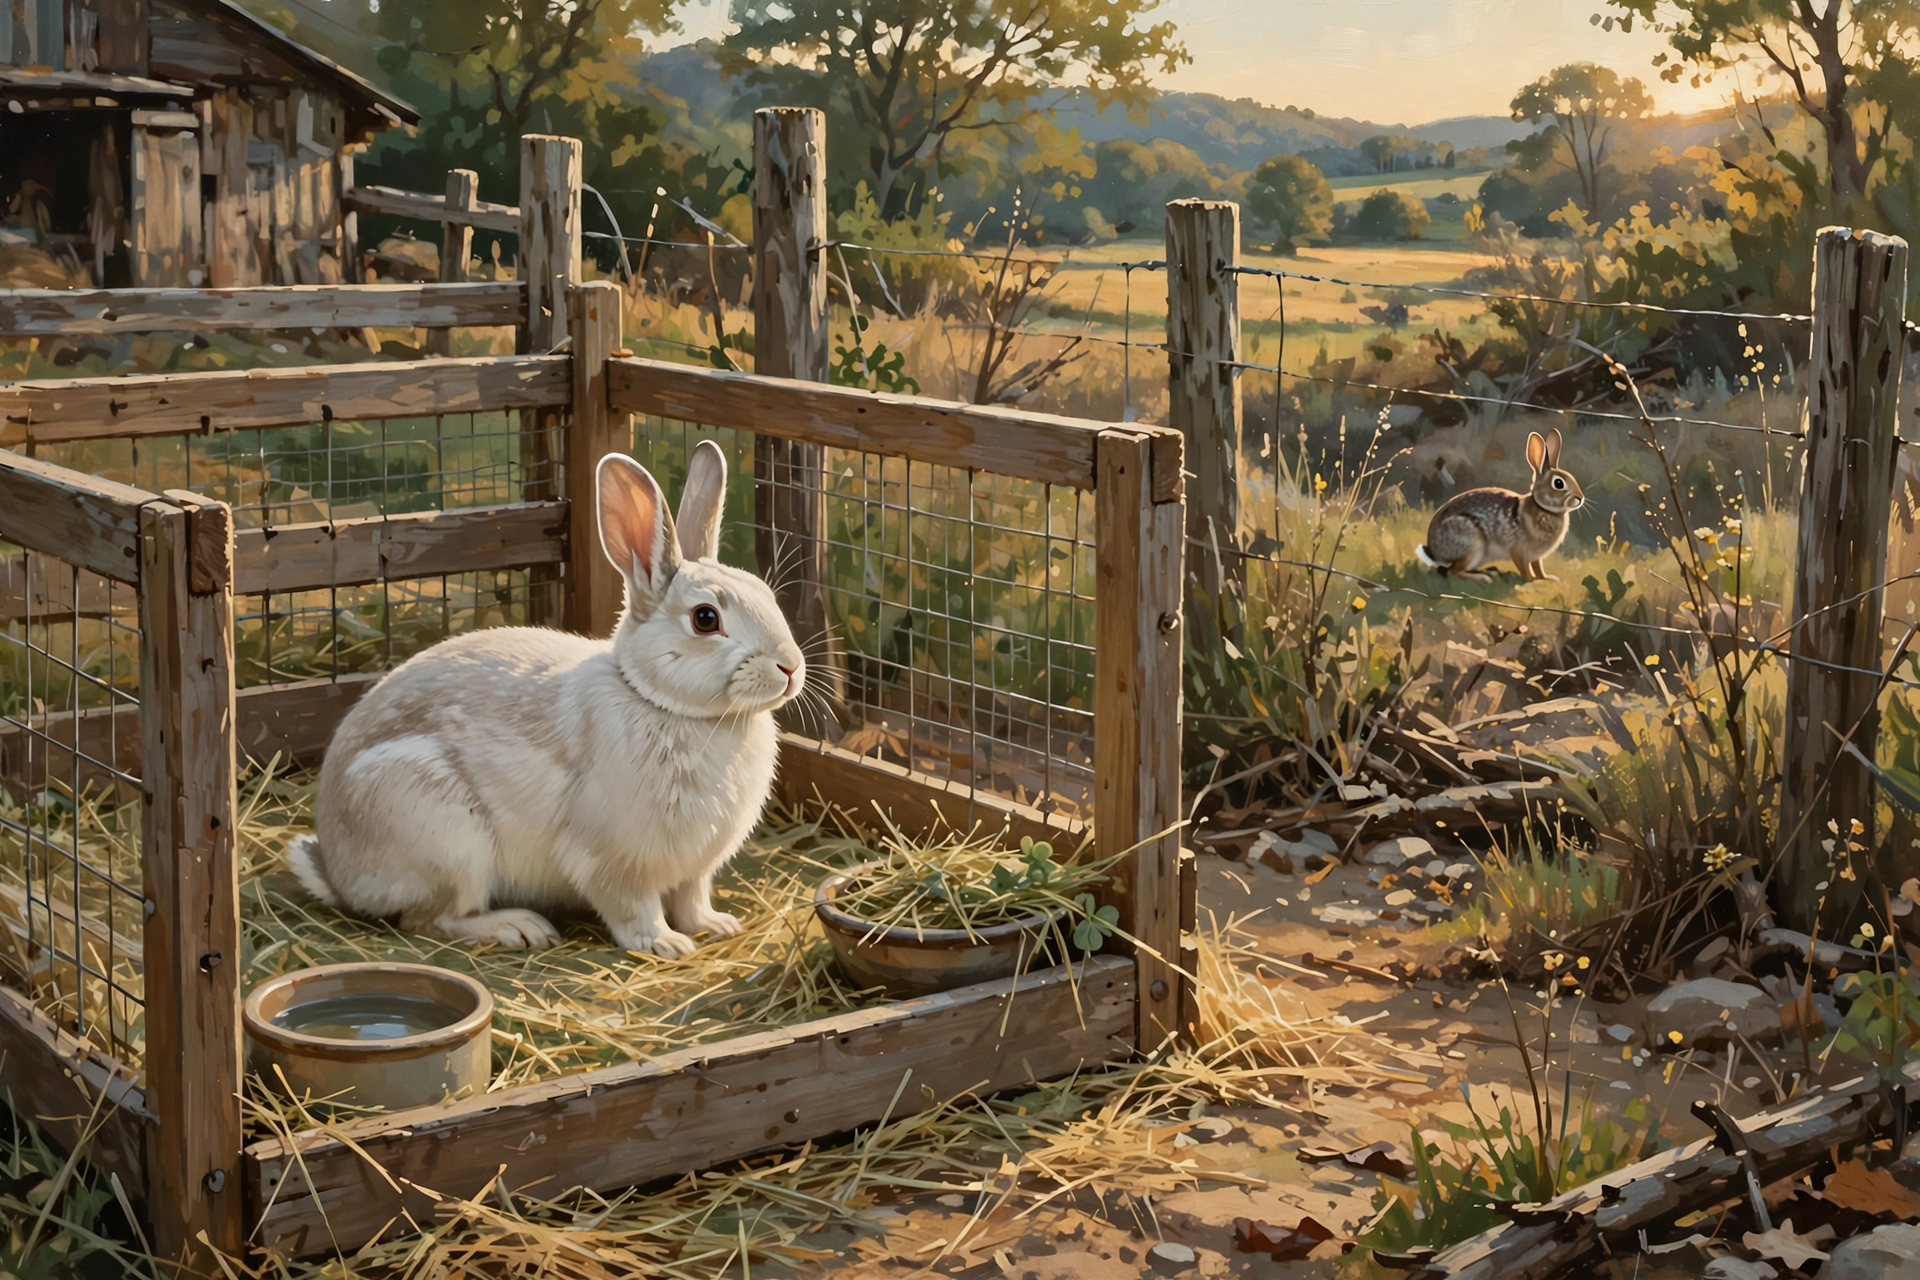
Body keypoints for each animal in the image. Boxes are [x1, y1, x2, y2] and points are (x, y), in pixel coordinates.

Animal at [285, 441, 807, 958]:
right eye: (705, 618)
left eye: (765, 594)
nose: (790, 667)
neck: (664, 704)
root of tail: (337, 870)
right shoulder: (611, 861)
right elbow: (632, 909)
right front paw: (666, 944)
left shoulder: (694, 870)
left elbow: (693, 899)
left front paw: (716, 926)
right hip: (446, 838)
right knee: (431, 919)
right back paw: (517, 928)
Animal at [1415, 428, 1584, 582]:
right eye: (1558, 483)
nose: (1580, 498)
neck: (1543, 508)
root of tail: (1435, 552)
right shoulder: (1518, 550)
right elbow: (1525, 569)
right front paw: (1531, 581)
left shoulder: (1536, 556)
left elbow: (1538, 567)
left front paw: (1547, 579)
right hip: (1472, 544)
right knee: (1453, 571)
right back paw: (1484, 578)